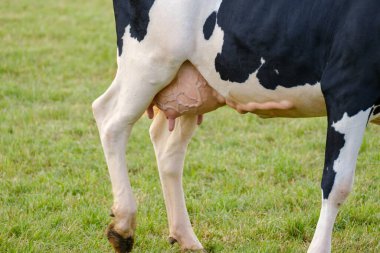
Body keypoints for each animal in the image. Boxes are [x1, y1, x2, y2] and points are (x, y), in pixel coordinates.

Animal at [92, 0, 380, 252]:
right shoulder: (348, 88)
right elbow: (337, 183)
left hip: (190, 83)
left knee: (166, 147)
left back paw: (186, 238)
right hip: (148, 64)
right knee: (109, 118)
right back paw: (123, 227)